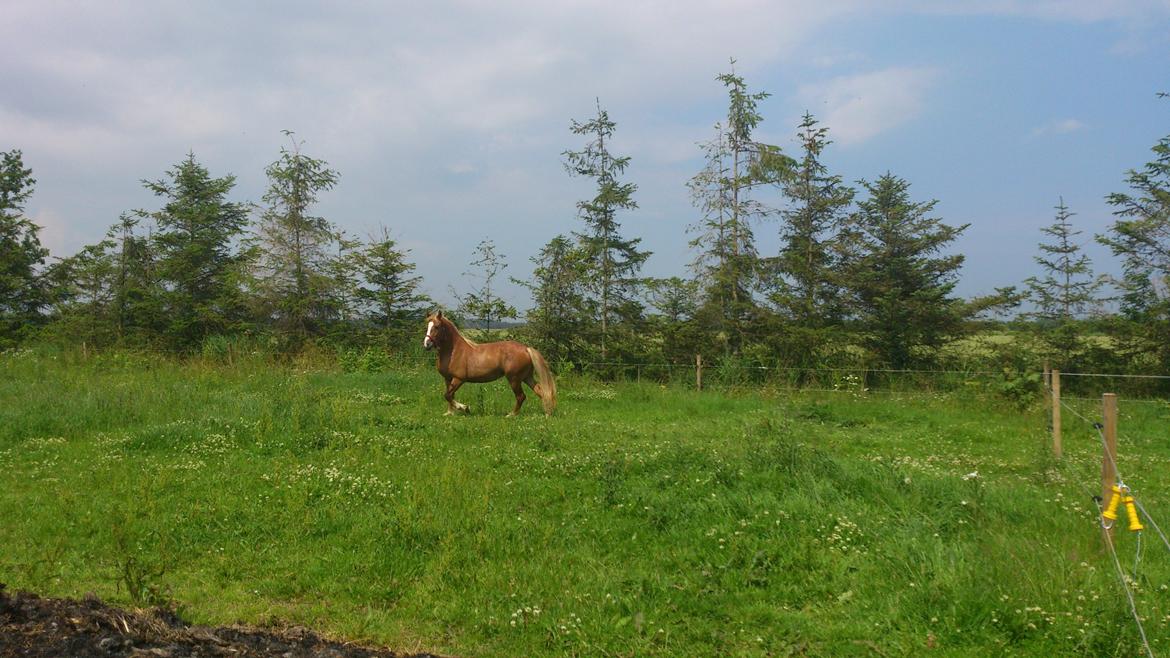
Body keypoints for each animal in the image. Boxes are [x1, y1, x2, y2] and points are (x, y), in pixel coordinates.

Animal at [423, 309, 559, 412]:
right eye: (427, 327)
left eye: (437, 326)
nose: (426, 344)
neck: (454, 351)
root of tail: (526, 349)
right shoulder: (448, 378)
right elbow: (449, 396)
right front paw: (450, 413)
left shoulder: (459, 379)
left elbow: (447, 395)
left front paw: (464, 408)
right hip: (526, 377)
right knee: (541, 392)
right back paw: (547, 414)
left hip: (514, 378)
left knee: (521, 396)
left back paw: (511, 415)